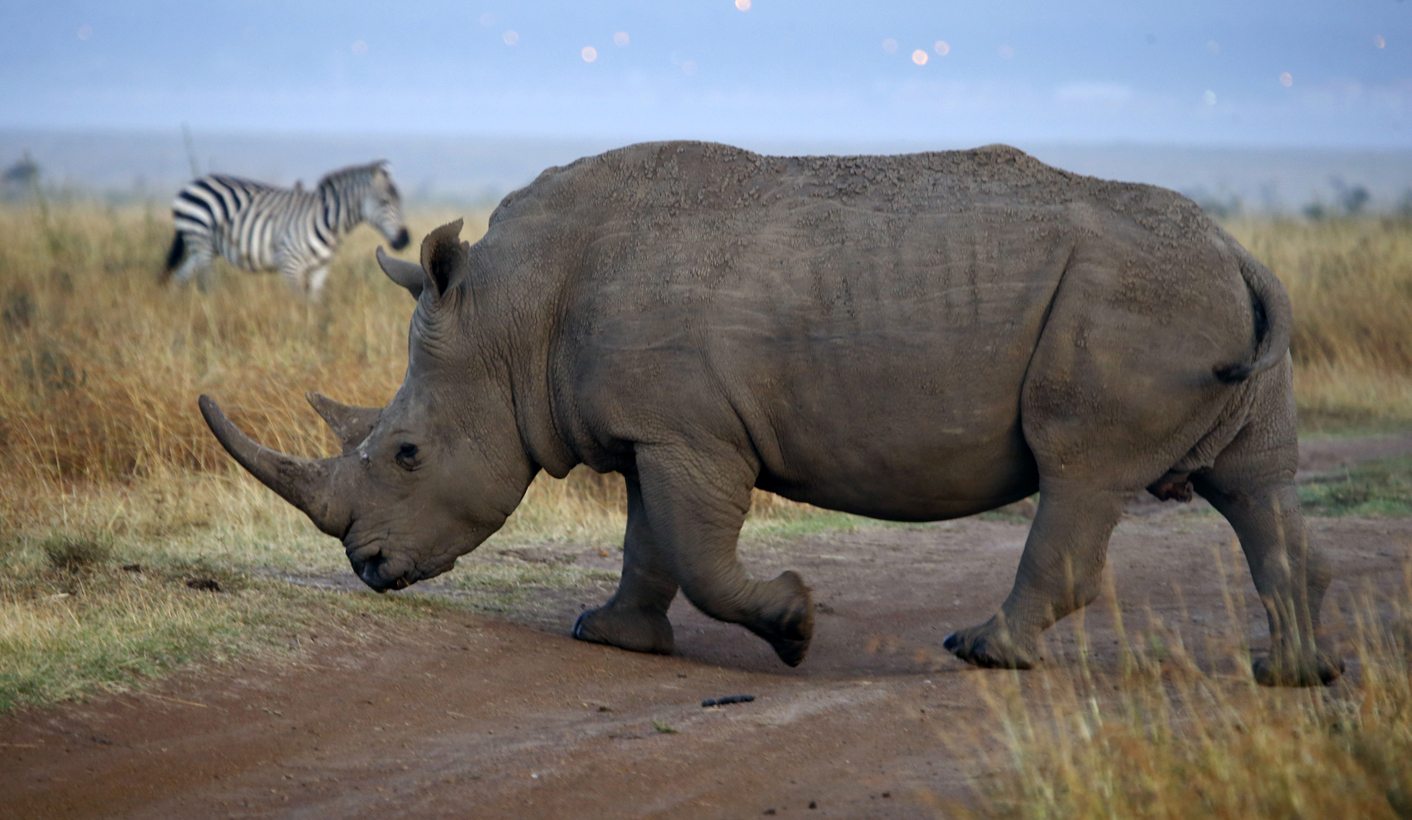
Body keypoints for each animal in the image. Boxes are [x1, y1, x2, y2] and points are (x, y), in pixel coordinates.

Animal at [200, 141, 1342, 686]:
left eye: (404, 452)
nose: (367, 568)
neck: (510, 316)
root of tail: (1236, 249)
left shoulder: (692, 432)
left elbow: (698, 553)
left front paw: (792, 626)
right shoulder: (651, 428)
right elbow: (649, 545)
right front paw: (613, 637)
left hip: (1135, 302)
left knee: (1079, 470)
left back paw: (980, 653)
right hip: (1204, 294)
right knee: (1256, 486)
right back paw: (1294, 675)